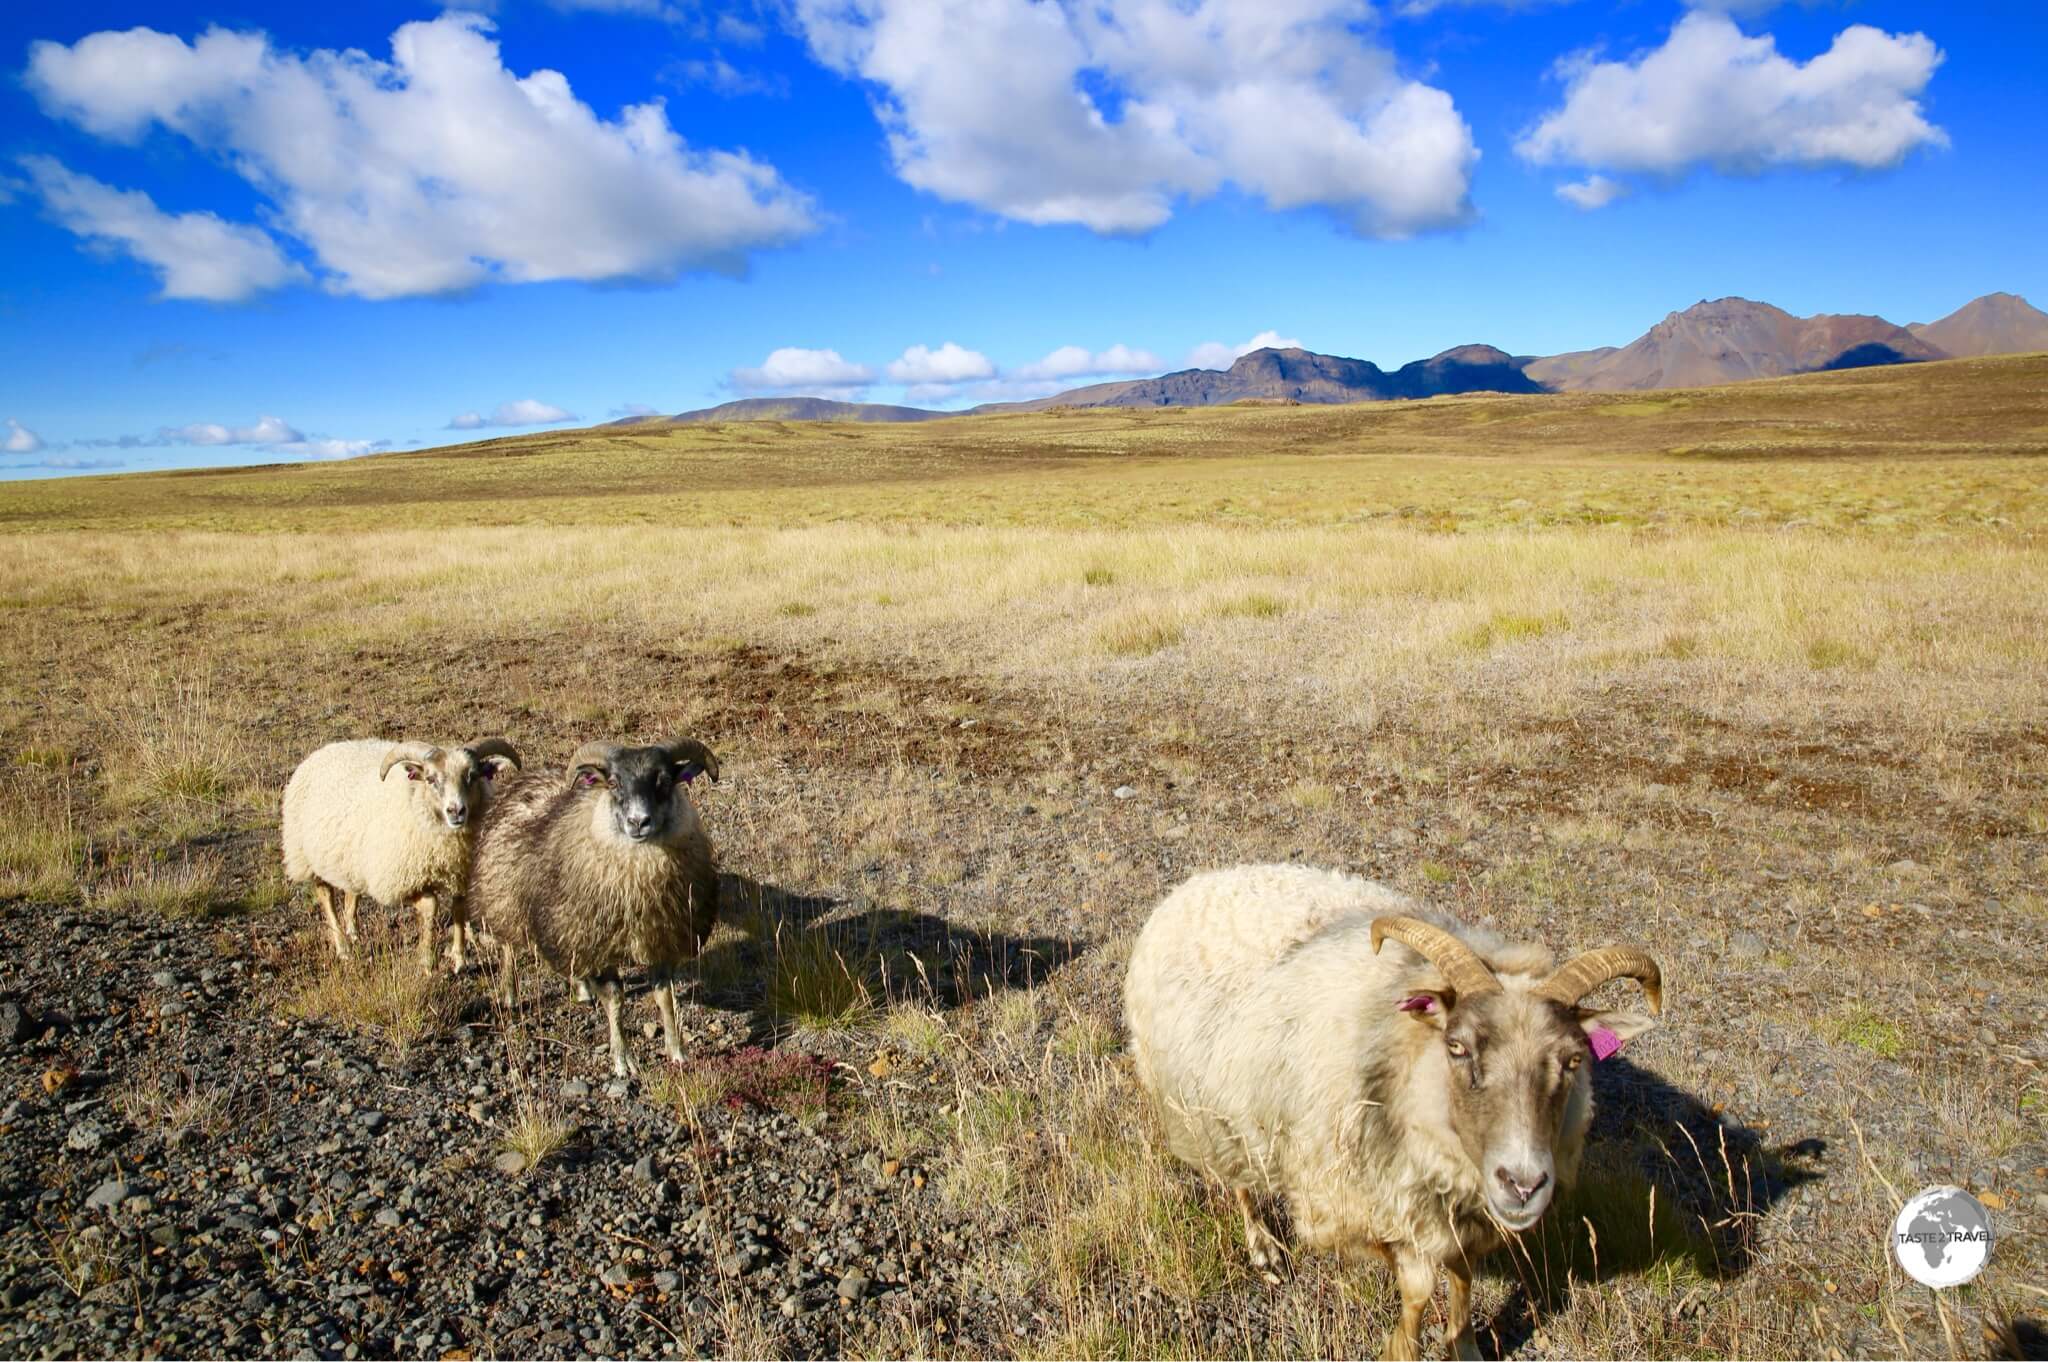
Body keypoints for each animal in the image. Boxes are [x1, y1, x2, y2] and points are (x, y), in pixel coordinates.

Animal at [282, 737, 520, 970]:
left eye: (472, 776)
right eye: (430, 779)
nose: (456, 811)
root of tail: (321, 752)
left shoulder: (461, 872)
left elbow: (459, 908)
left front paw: (460, 958)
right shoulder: (401, 878)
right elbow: (431, 906)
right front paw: (426, 961)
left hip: (350, 860)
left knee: (351, 893)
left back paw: (353, 933)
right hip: (306, 856)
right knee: (325, 896)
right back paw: (343, 948)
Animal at [1122, 864, 1662, 1351]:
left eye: (1573, 1060)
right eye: (1457, 1047)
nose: (1523, 1184)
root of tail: (1204, 881)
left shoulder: (1458, 1211)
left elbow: (1462, 1276)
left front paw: (1464, 1343)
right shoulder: (1373, 1203)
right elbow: (1419, 1290)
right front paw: (1403, 1347)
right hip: (1213, 1107)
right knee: (1239, 1183)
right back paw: (1264, 1250)